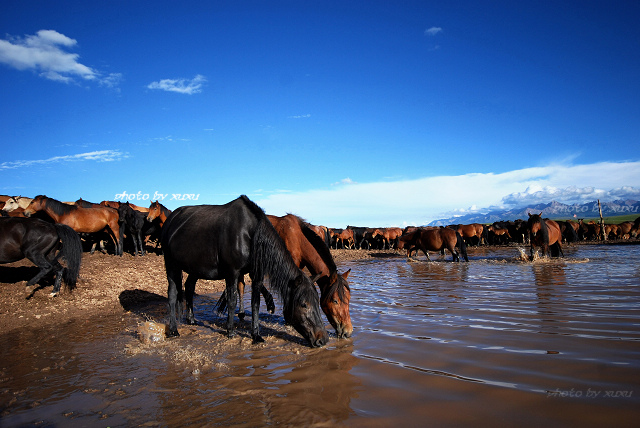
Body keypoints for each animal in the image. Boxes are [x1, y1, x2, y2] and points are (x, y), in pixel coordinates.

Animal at [160, 196, 330, 348]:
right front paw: (230, 331)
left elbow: (256, 304)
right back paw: (174, 330)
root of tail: (171, 219)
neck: (250, 234)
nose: (322, 339)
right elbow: (232, 301)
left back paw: (191, 319)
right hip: (171, 265)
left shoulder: (257, 275)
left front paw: (256, 335)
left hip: (194, 269)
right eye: (303, 304)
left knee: (189, 287)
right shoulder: (232, 273)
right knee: (173, 294)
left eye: (318, 301)